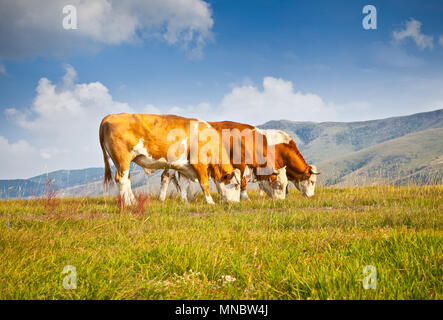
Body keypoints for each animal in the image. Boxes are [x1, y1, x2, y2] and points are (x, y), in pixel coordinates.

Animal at [99, 114, 243, 206]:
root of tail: (110, 116)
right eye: (236, 185)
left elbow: (184, 185)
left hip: (123, 162)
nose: (236, 203)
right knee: (122, 179)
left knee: (126, 180)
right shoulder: (199, 164)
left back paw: (133, 201)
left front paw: (184, 202)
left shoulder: (185, 167)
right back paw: (128, 203)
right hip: (122, 158)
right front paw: (211, 202)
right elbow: (204, 184)